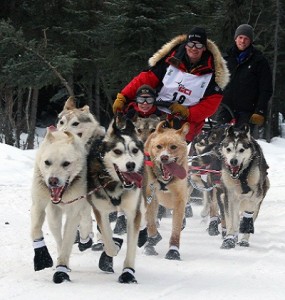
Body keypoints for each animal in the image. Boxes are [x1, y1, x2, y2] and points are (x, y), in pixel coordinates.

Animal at [31, 127, 93, 282]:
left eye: (66, 163)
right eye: (47, 162)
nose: (52, 181)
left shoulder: (74, 213)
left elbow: (67, 241)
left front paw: (61, 270)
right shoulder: (38, 205)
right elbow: (36, 230)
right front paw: (42, 257)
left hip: (83, 207)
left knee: (86, 222)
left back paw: (85, 239)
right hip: (53, 216)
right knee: (58, 234)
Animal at [87, 118, 144, 284]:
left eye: (135, 150)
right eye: (117, 151)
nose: (131, 165)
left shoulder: (133, 212)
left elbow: (131, 245)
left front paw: (128, 272)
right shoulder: (100, 210)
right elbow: (108, 239)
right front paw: (114, 246)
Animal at [144, 121, 189, 260]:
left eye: (173, 147)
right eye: (159, 146)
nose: (164, 157)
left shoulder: (179, 198)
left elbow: (176, 229)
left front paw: (173, 251)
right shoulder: (150, 195)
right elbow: (151, 222)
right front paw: (153, 238)